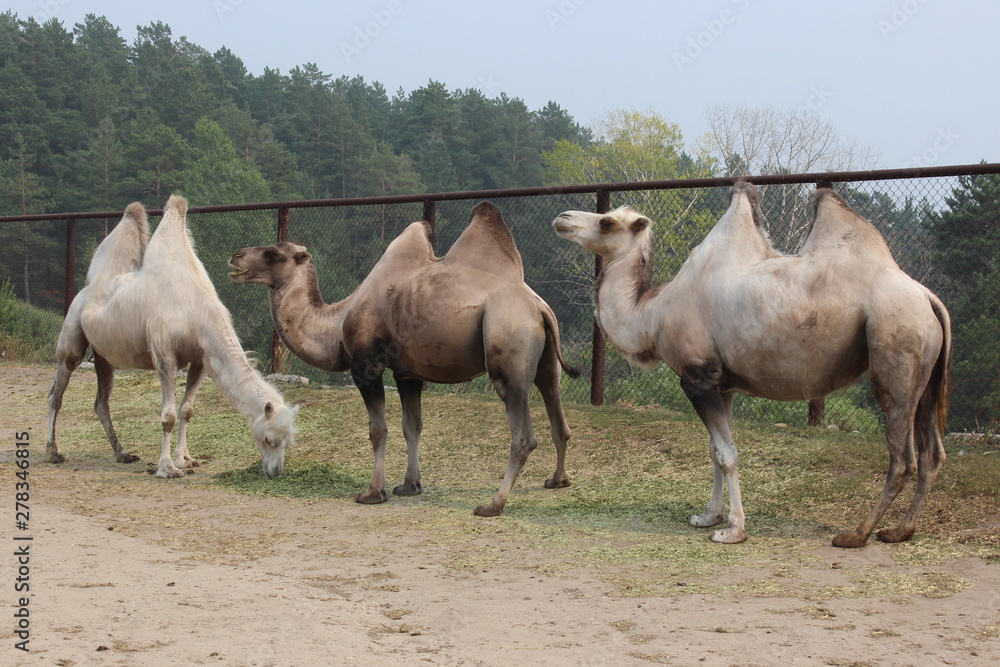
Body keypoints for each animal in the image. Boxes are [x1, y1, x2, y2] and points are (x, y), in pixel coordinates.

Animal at [46, 195, 299, 479]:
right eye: (268, 439)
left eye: (288, 441)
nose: (276, 471)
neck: (198, 311)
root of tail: (86, 289)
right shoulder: (164, 356)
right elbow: (168, 416)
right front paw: (167, 468)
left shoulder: (201, 359)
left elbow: (186, 410)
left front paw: (185, 459)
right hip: (71, 338)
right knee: (57, 392)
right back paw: (52, 452)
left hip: (103, 356)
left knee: (101, 403)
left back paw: (122, 454)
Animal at [228, 201, 578, 516]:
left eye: (272, 253)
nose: (235, 255)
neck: (336, 322)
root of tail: (539, 307)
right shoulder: (407, 373)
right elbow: (413, 426)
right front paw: (410, 486)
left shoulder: (366, 365)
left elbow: (378, 429)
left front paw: (373, 492)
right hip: (545, 359)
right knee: (556, 408)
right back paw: (557, 481)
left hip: (507, 351)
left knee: (523, 436)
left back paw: (493, 505)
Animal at [553, 183, 951, 547]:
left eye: (606, 222)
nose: (562, 218)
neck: (652, 313)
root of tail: (927, 296)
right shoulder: (722, 383)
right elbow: (713, 451)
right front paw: (708, 516)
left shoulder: (697, 377)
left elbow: (728, 454)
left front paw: (733, 531)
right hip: (925, 374)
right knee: (932, 453)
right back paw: (900, 531)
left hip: (896, 348)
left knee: (902, 458)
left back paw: (857, 533)